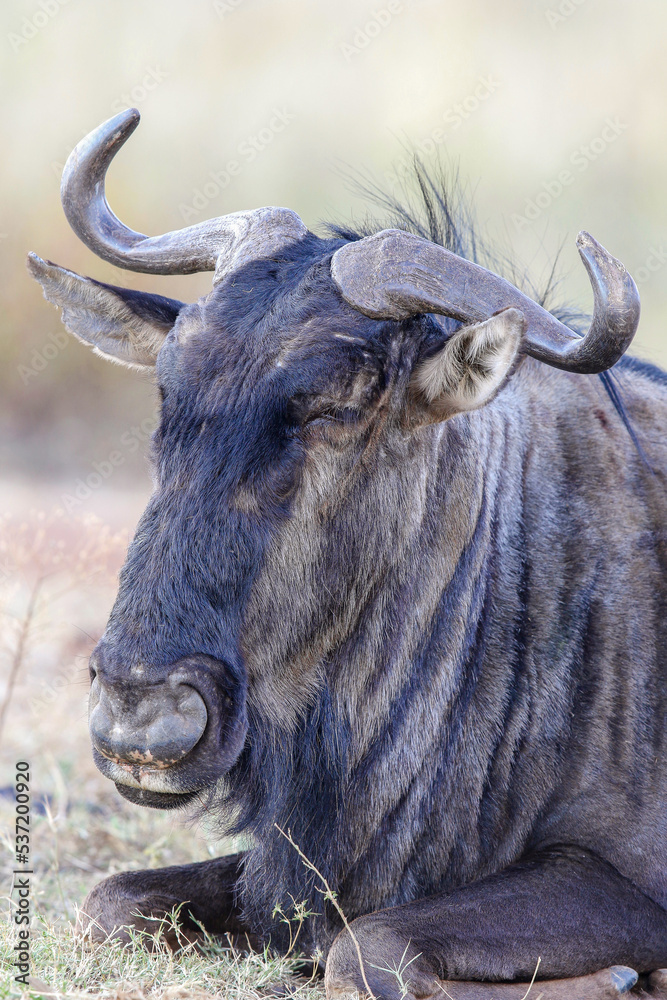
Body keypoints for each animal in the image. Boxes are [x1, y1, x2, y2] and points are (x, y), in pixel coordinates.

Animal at [28, 109, 667, 1000]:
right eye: (168, 389)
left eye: (334, 407)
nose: (139, 717)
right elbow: (108, 901)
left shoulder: (623, 878)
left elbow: (367, 948)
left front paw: (614, 978)